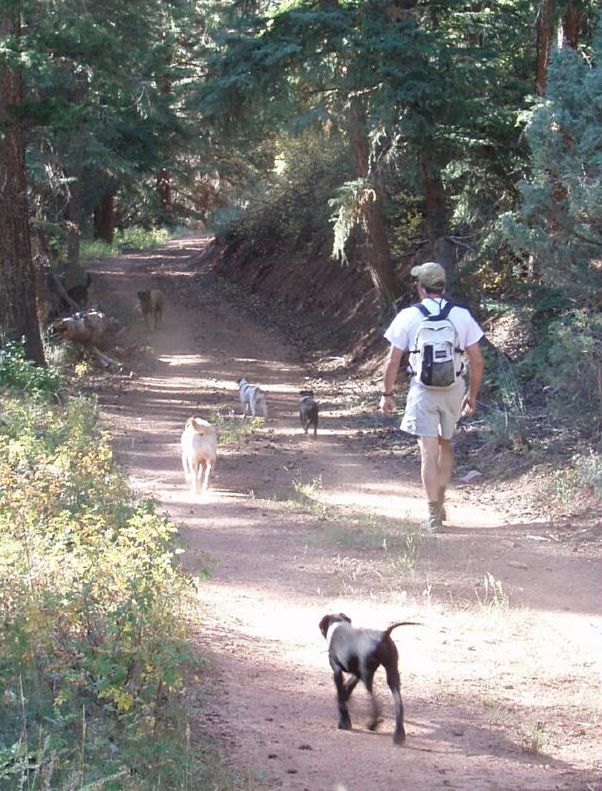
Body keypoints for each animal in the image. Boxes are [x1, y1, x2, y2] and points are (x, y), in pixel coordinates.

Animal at [318, 612, 418, 748]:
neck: (338, 624)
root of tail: (384, 634)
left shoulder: (337, 670)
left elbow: (340, 697)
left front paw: (344, 721)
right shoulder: (356, 672)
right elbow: (349, 684)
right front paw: (346, 695)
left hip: (367, 673)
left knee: (374, 701)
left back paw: (373, 724)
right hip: (392, 671)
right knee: (398, 701)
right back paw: (399, 734)